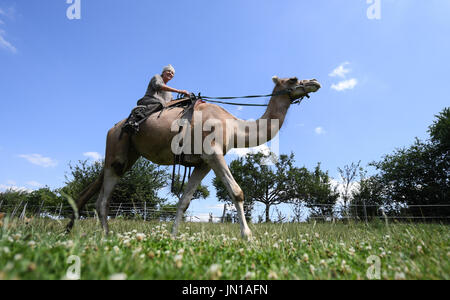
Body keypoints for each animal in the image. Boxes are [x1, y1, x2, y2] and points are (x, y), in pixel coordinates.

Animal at [66, 75, 320, 239]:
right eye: (293, 79)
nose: (315, 82)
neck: (234, 126)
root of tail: (113, 128)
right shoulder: (214, 153)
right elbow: (237, 192)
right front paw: (247, 236)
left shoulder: (202, 163)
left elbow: (184, 201)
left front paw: (173, 236)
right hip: (117, 149)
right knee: (102, 199)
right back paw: (105, 238)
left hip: (129, 155)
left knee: (94, 189)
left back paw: (72, 230)